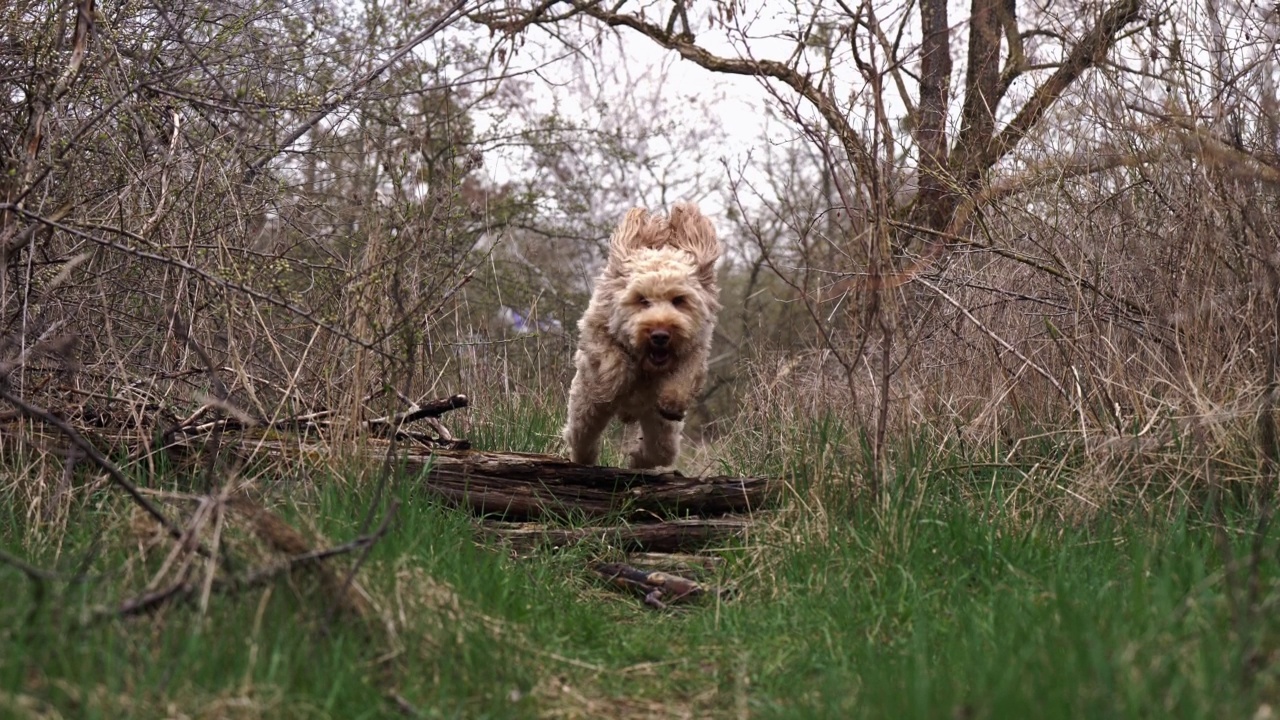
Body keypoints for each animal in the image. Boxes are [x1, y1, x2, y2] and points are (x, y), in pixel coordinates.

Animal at [560, 202, 721, 468]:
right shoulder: (595, 330)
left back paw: (640, 458)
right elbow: (611, 361)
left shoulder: (696, 348)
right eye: (641, 299)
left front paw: (673, 401)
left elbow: (684, 376)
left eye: (679, 300)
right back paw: (585, 456)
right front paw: (616, 382)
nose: (660, 334)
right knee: (580, 435)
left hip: (658, 426)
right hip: (584, 408)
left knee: (663, 450)